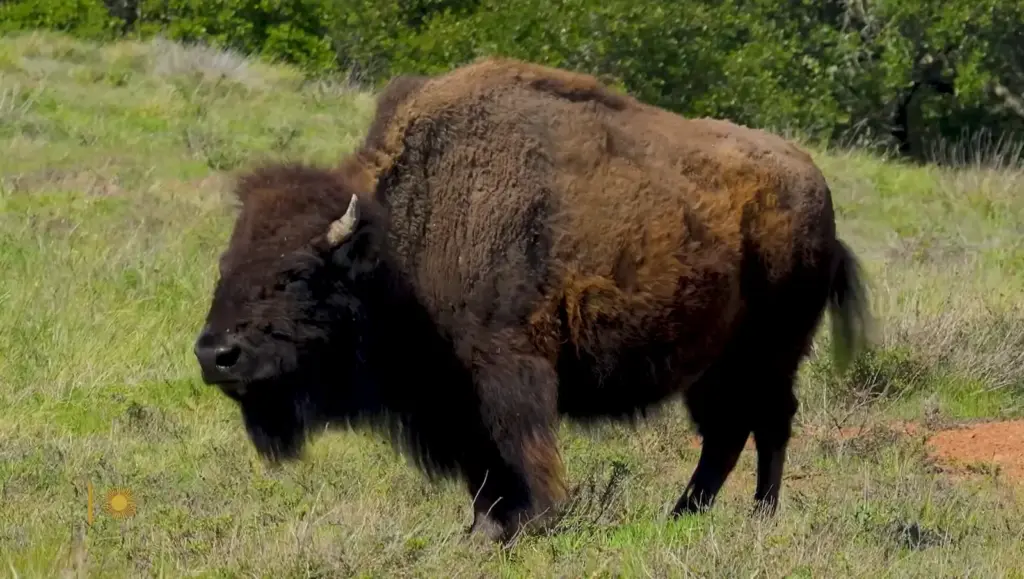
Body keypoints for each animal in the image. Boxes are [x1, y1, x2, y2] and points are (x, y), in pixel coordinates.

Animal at [193, 57, 871, 542]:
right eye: (225, 266)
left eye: (297, 274)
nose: (214, 355)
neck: (399, 238)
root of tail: (815, 187)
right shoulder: (450, 393)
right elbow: (481, 464)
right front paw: (482, 529)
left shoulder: (505, 367)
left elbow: (517, 447)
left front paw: (530, 522)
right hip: (713, 367)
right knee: (727, 433)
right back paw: (683, 516)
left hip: (771, 354)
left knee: (768, 424)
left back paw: (758, 517)